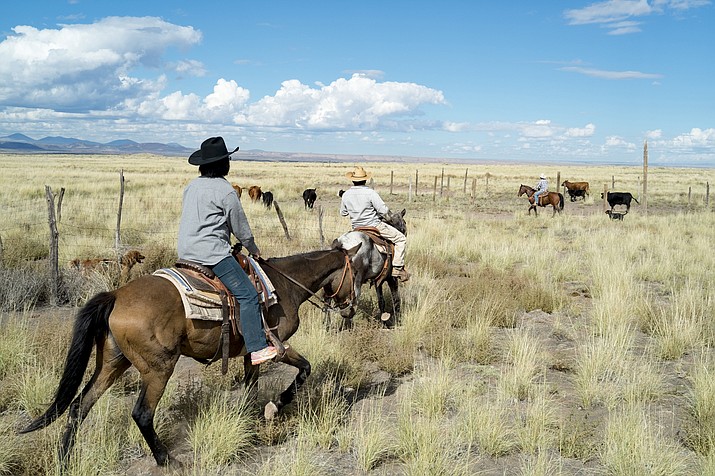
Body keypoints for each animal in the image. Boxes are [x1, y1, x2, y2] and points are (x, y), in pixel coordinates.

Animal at [19, 245, 360, 468]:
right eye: (356, 274)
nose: (351, 309)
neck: (283, 284)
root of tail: (115, 295)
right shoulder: (276, 346)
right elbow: (304, 369)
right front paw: (276, 405)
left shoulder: (252, 354)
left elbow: (251, 388)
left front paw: (251, 419)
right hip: (158, 369)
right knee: (141, 413)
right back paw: (166, 460)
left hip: (112, 363)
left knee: (79, 407)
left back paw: (64, 461)